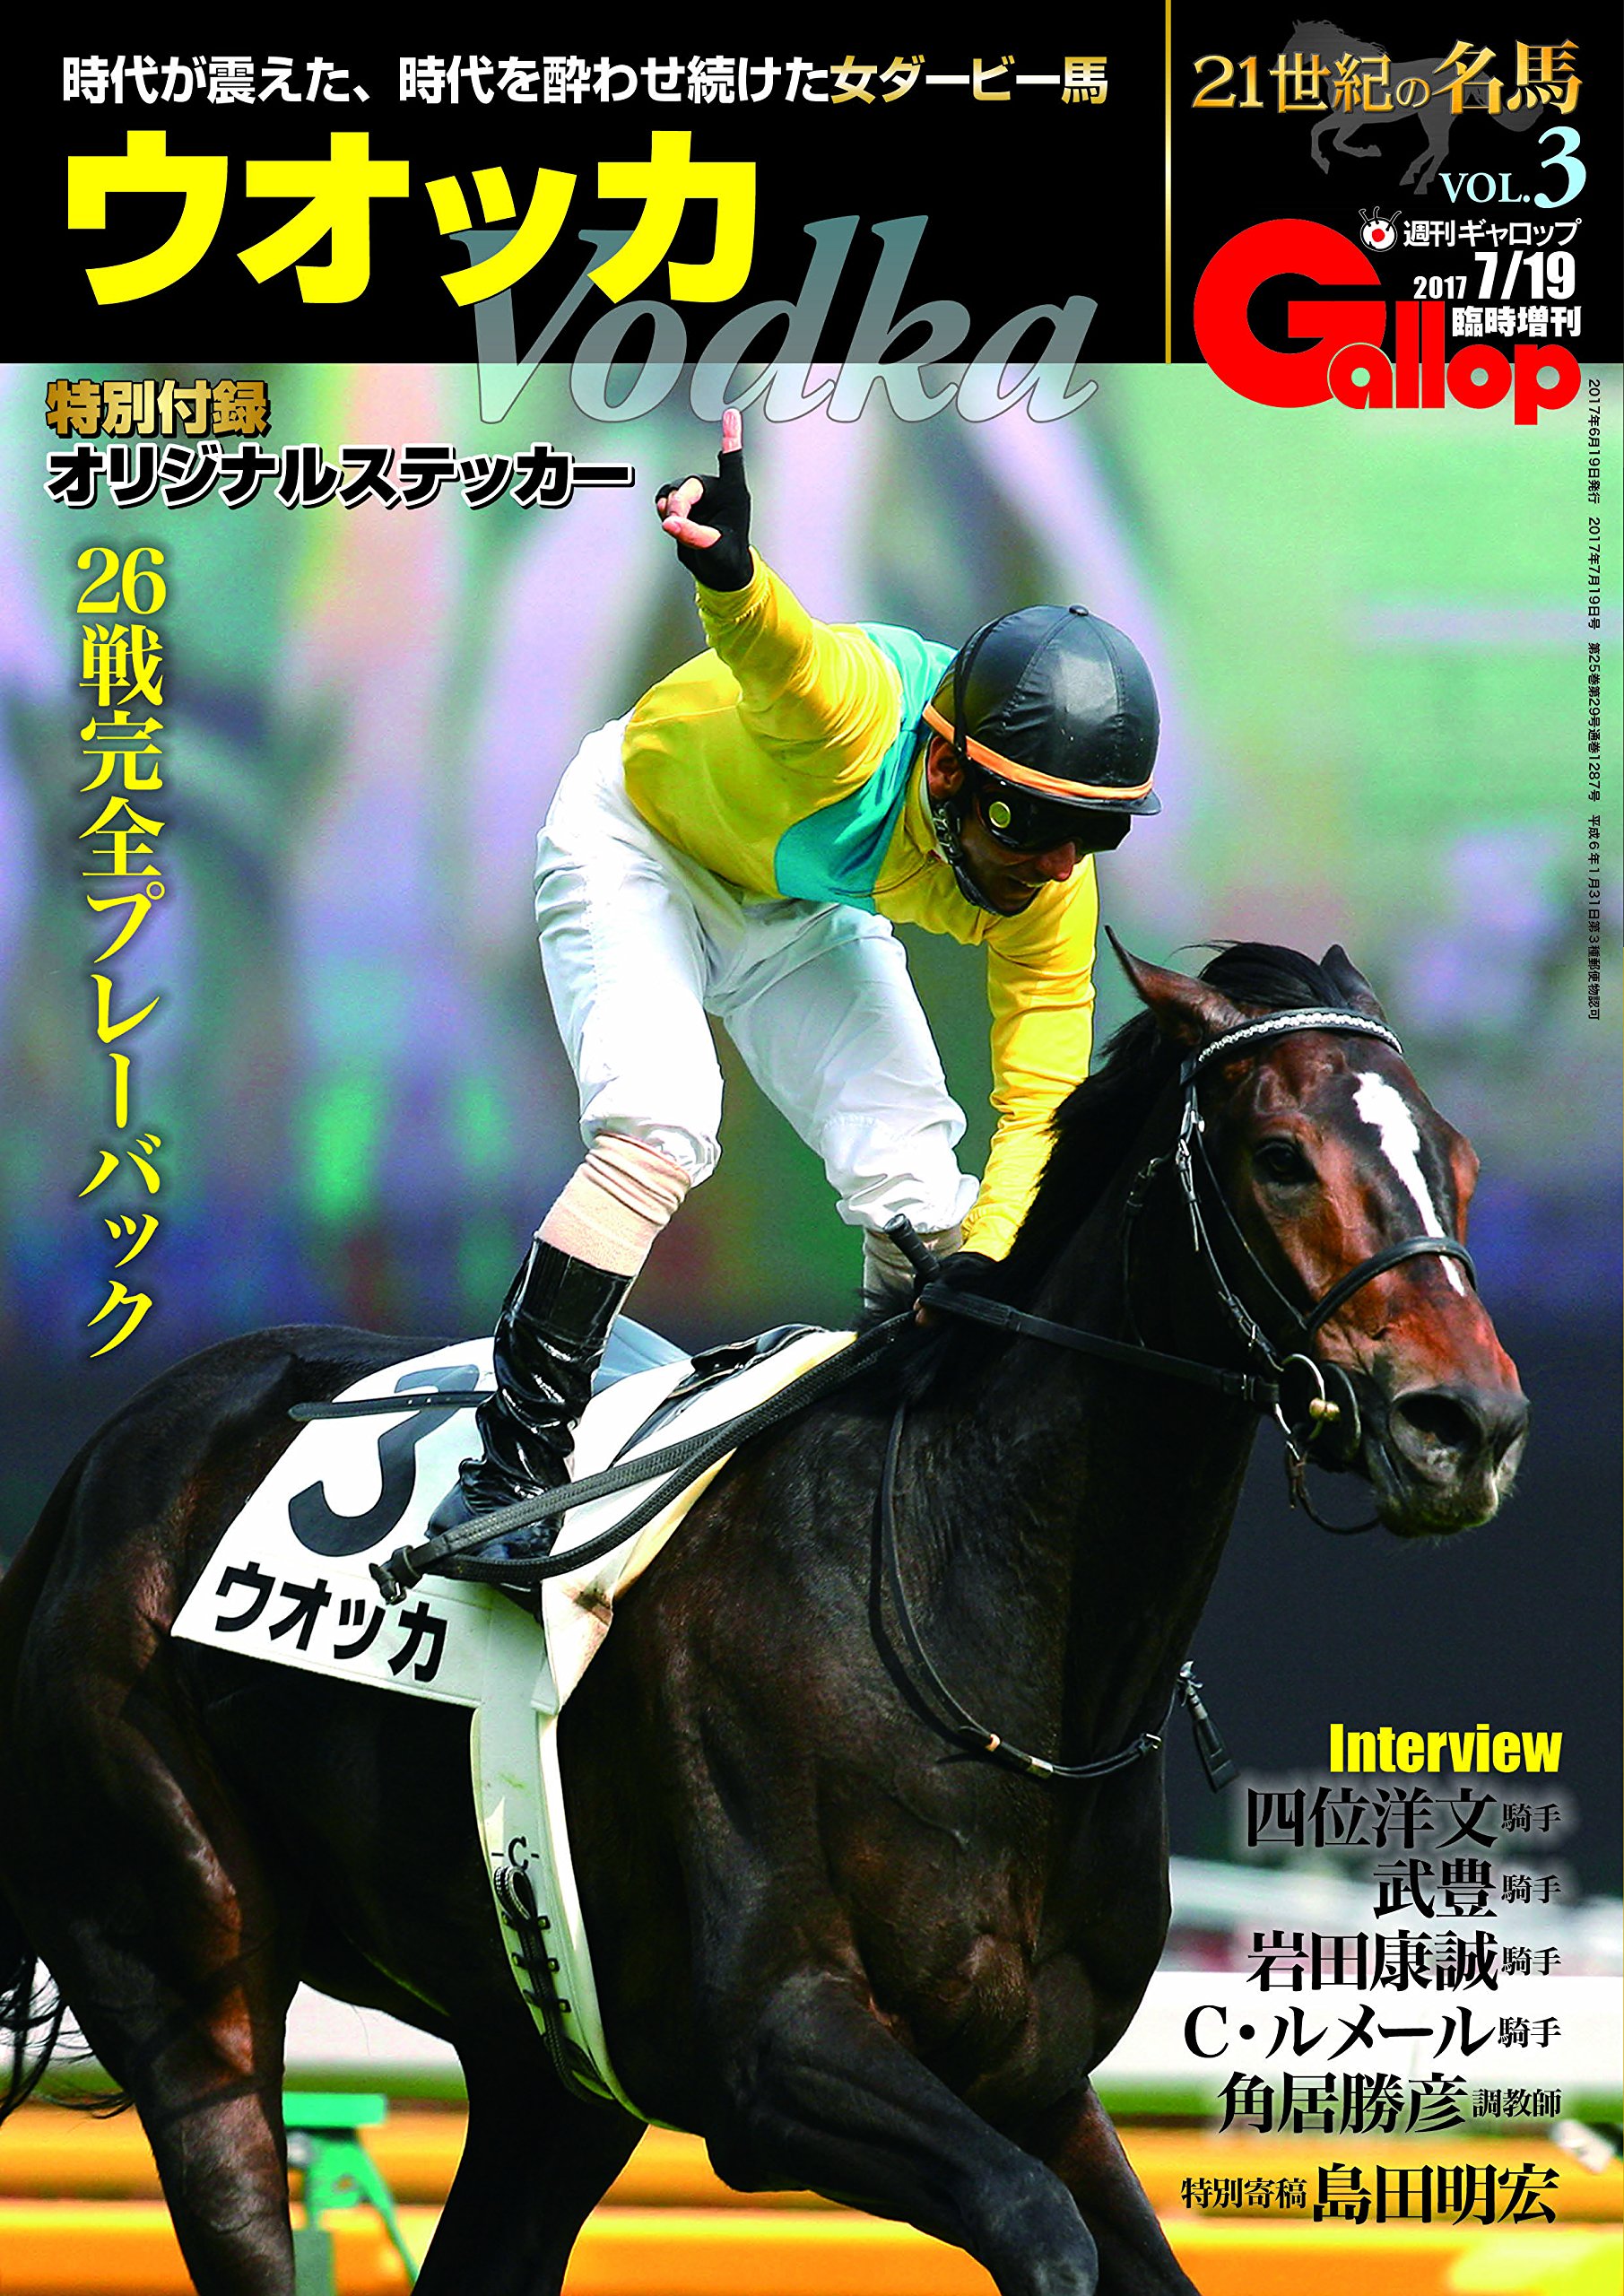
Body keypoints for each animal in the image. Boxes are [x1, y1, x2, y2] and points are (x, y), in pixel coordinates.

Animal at [0, 939, 1528, 2296]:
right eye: (1278, 1154)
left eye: (1452, 1160)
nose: (1464, 1423)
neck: (967, 1600)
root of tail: (96, 1471)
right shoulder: (775, 2053)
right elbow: (1038, 2233)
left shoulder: (1034, 2076)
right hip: (188, 1972)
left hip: (550, 2069)